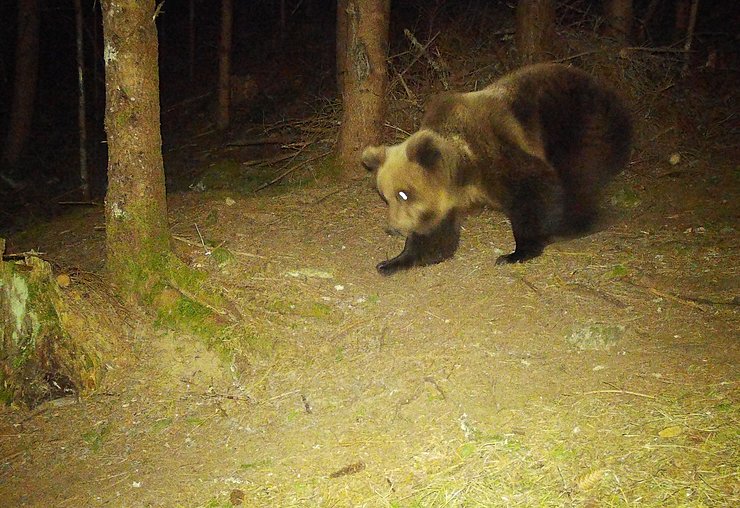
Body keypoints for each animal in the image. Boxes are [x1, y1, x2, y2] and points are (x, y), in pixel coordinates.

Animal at [361, 63, 633, 276]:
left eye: (403, 193)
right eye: (385, 196)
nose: (393, 228)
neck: (465, 171)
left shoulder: (497, 156)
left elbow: (534, 190)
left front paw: (516, 252)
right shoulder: (444, 202)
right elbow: (435, 235)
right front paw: (392, 262)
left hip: (577, 124)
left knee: (578, 176)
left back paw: (577, 224)